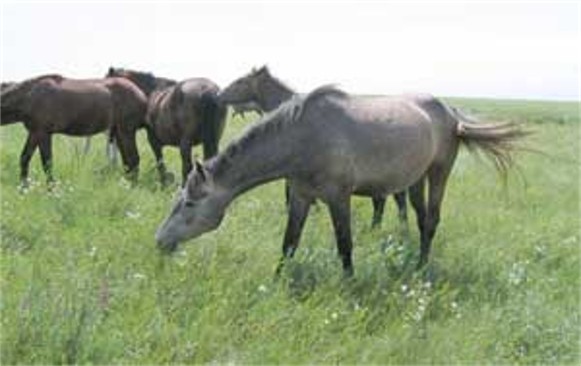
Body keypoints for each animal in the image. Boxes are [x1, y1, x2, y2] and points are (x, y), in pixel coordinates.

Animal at [1, 73, 147, 186]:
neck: (29, 96)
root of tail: (142, 96)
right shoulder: (34, 132)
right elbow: (24, 158)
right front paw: (23, 188)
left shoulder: (43, 133)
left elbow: (47, 163)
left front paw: (51, 189)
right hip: (118, 132)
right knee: (128, 162)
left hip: (126, 132)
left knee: (133, 160)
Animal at [156, 84, 528, 276]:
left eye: (189, 203)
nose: (160, 241)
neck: (303, 137)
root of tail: (451, 112)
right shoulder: (302, 197)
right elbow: (289, 242)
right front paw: (277, 280)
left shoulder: (338, 198)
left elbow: (344, 243)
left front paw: (349, 283)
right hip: (415, 180)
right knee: (422, 220)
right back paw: (418, 262)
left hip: (439, 173)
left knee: (433, 220)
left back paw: (422, 268)